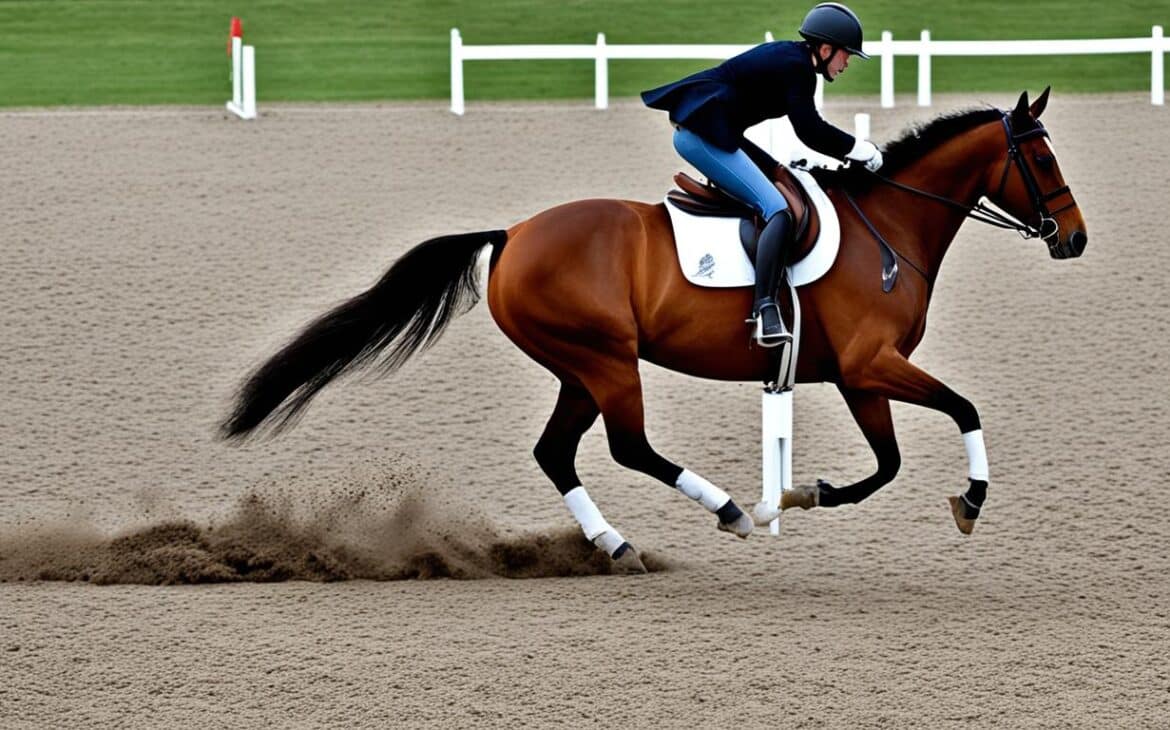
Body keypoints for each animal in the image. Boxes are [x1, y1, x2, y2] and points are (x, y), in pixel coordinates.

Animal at [225, 88, 1085, 573]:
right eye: (1041, 160)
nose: (1073, 240)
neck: (892, 226)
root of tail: (512, 233)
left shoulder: (858, 374)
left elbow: (887, 464)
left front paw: (802, 493)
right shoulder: (873, 364)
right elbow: (964, 411)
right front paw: (967, 499)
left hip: (579, 367)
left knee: (556, 452)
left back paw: (617, 545)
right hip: (607, 360)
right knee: (627, 447)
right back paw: (730, 511)